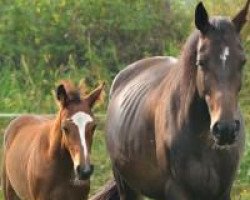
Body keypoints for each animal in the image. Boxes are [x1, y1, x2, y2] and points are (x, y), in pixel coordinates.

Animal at [106, 1, 250, 200]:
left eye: (242, 61)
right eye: (201, 62)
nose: (225, 129)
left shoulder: (223, 192)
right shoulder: (177, 191)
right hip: (125, 185)